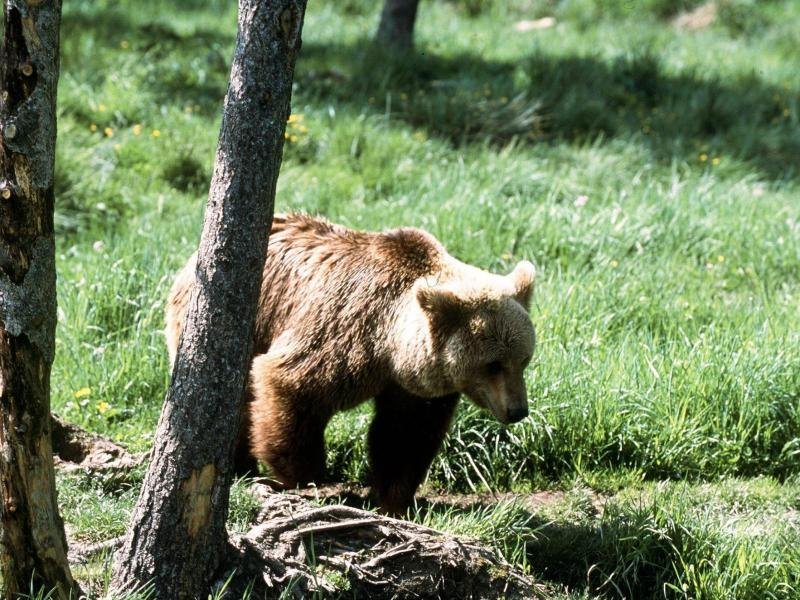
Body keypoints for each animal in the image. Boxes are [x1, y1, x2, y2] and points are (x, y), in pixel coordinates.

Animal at [165, 213, 536, 514]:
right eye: (492, 364)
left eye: (524, 359)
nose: (518, 410)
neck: (389, 345)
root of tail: (191, 260)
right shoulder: (344, 331)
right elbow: (289, 382)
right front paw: (305, 474)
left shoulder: (414, 385)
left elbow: (405, 433)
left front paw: (394, 497)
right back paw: (241, 466)